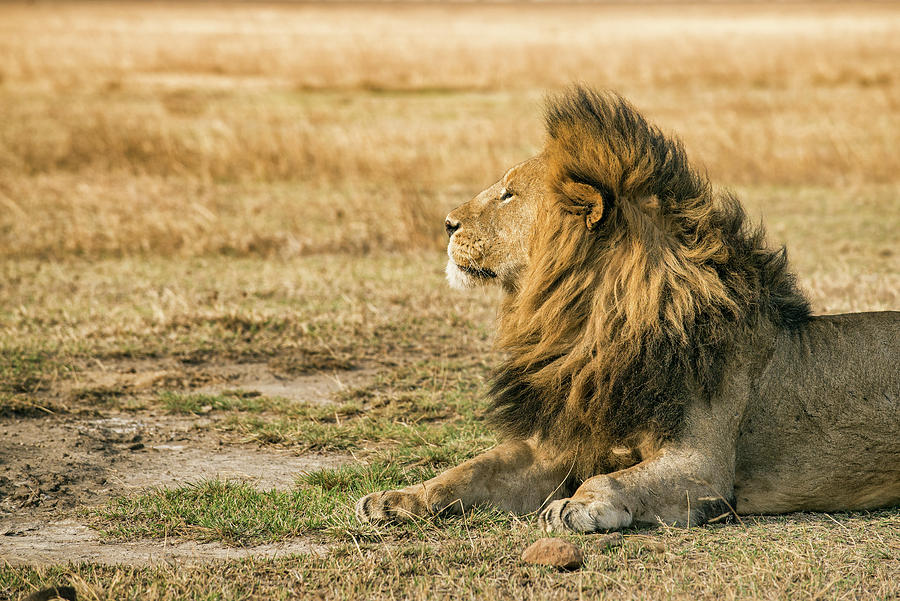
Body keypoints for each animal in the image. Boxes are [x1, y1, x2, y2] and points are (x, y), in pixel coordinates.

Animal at [356, 86, 900, 532]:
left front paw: (576, 505)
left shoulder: (702, 467)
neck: (591, 326)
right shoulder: (558, 444)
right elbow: (470, 468)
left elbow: (609, 481)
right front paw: (394, 498)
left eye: (509, 193)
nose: (446, 224)